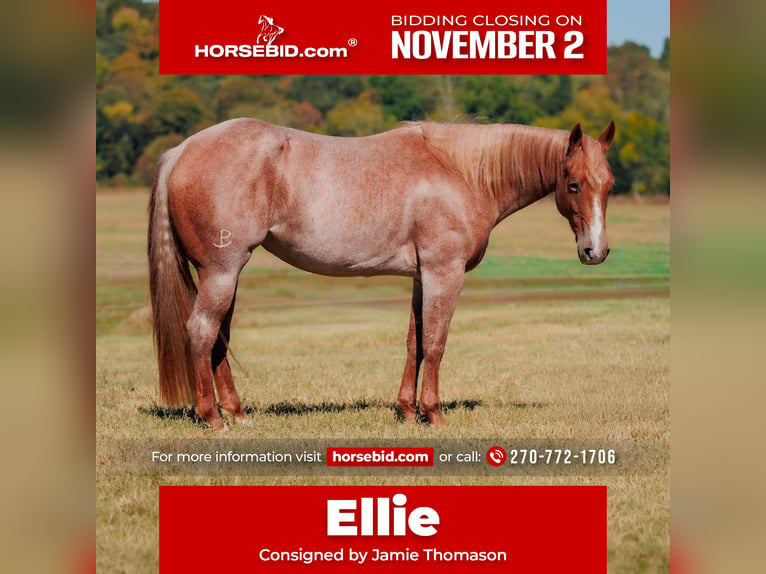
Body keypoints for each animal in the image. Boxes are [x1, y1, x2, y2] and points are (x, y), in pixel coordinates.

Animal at [148, 118, 616, 430]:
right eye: (573, 184)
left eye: (609, 184)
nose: (595, 251)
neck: (459, 172)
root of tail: (182, 150)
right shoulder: (444, 273)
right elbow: (436, 343)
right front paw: (434, 414)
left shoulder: (421, 277)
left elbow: (415, 342)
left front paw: (407, 411)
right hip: (222, 271)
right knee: (201, 331)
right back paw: (213, 418)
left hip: (225, 274)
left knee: (218, 337)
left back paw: (238, 413)